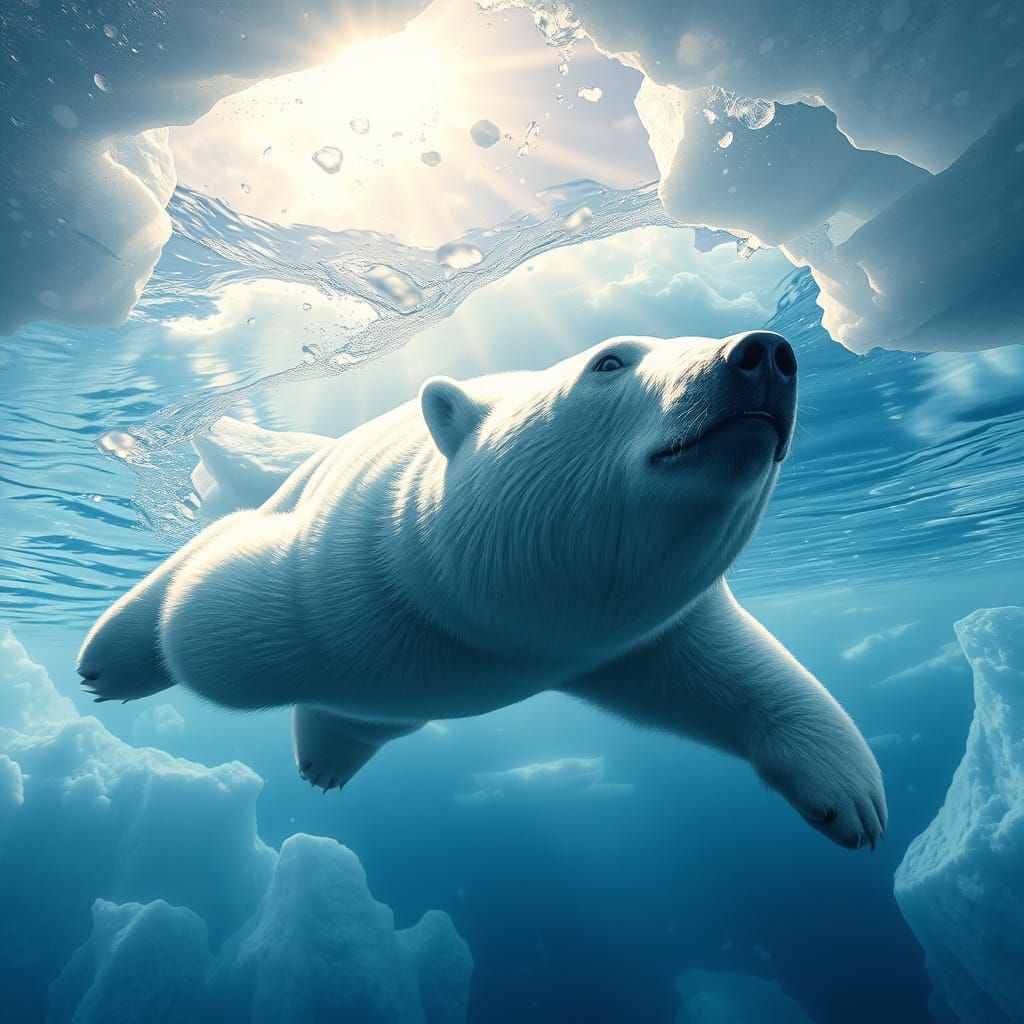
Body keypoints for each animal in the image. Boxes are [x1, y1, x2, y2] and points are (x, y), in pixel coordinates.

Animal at [78, 330, 886, 850]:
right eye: (611, 360)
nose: (764, 354)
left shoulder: (622, 636)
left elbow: (734, 672)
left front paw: (852, 797)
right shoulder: (346, 576)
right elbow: (205, 609)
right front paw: (134, 653)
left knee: (370, 717)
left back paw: (327, 759)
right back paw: (109, 662)